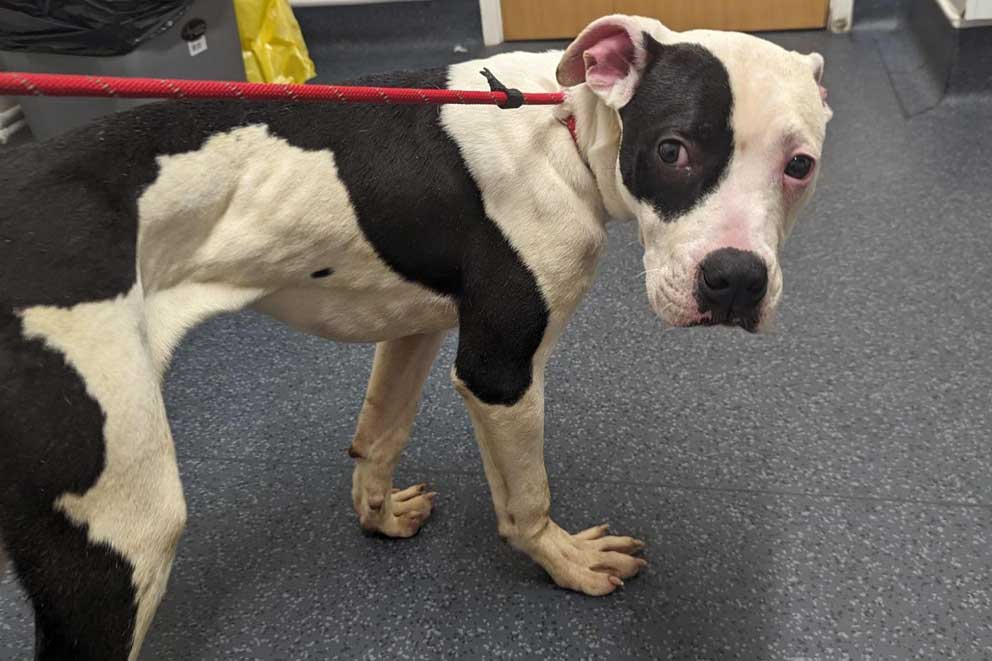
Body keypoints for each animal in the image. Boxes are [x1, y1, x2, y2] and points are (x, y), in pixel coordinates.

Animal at [0, 15, 832, 660]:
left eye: (801, 165)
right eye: (671, 149)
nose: (735, 279)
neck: (561, 127)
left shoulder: (415, 329)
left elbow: (380, 434)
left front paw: (378, 516)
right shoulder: (500, 369)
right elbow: (526, 498)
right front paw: (564, 560)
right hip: (124, 530)